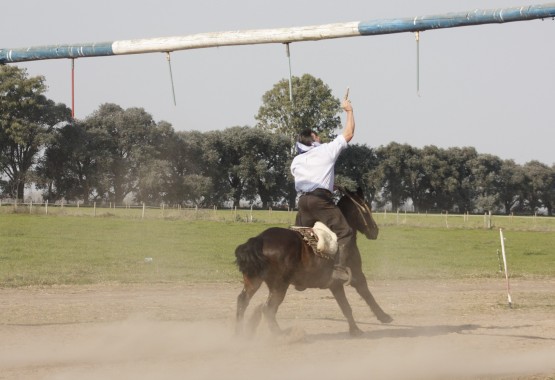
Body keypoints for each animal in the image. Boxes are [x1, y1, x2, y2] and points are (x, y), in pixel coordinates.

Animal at [235, 187, 390, 336]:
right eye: (366, 207)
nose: (375, 230)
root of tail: (259, 239)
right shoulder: (356, 276)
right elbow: (365, 295)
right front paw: (382, 317)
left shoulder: (335, 285)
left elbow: (345, 306)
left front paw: (355, 329)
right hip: (279, 286)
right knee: (268, 309)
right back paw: (281, 334)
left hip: (254, 281)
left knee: (243, 301)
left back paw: (240, 334)